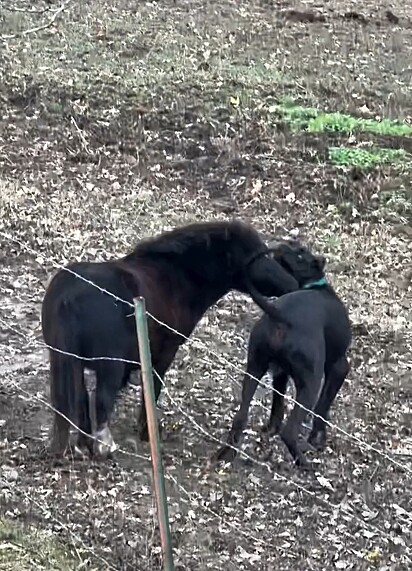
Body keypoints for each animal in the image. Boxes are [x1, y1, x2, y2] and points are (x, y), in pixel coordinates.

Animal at [41, 220, 300, 460]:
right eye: (257, 256)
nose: (293, 285)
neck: (175, 276)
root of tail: (68, 296)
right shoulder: (163, 354)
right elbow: (153, 389)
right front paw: (147, 432)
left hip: (68, 360)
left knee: (80, 400)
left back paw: (83, 445)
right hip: (108, 366)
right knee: (101, 400)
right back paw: (104, 448)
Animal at [216, 241, 350, 470]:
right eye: (300, 252)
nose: (286, 242)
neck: (312, 285)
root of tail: (282, 316)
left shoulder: (280, 372)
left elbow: (277, 404)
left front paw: (271, 428)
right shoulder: (339, 367)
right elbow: (322, 407)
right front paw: (318, 438)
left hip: (254, 367)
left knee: (240, 417)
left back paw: (226, 454)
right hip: (310, 383)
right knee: (290, 432)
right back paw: (304, 464)